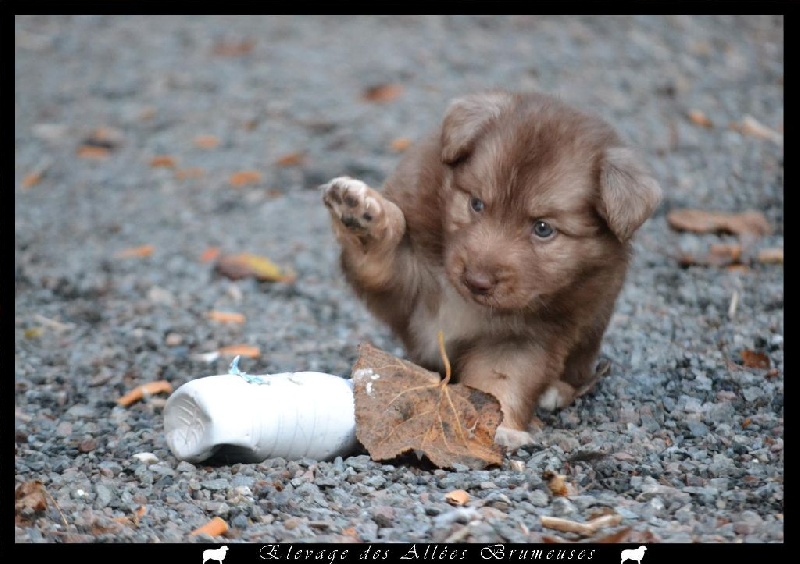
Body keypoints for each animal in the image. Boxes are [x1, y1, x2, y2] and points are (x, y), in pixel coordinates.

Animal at [320, 89, 664, 450]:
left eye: (543, 229)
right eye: (476, 204)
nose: (476, 281)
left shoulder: (526, 336)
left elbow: (501, 380)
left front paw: (500, 428)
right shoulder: (408, 282)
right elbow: (385, 252)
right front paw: (361, 215)